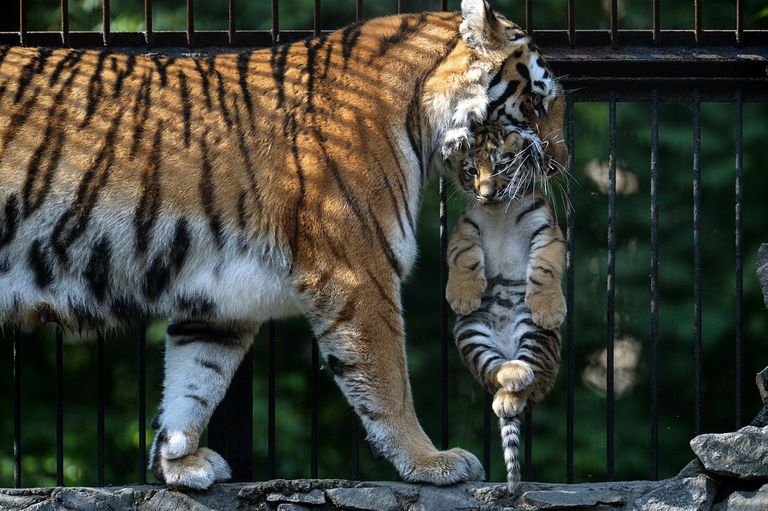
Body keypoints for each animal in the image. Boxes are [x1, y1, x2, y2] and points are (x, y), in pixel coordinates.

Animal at [446, 122, 565, 490]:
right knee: (494, 371)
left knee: (529, 383)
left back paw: (513, 392)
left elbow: (545, 266)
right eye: (472, 171)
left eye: (500, 166)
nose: (486, 192)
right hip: (472, 334)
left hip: (535, 336)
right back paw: (509, 379)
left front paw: (550, 308)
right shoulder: (465, 227)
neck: (499, 211)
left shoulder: (547, 231)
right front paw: (462, 295)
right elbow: (464, 257)